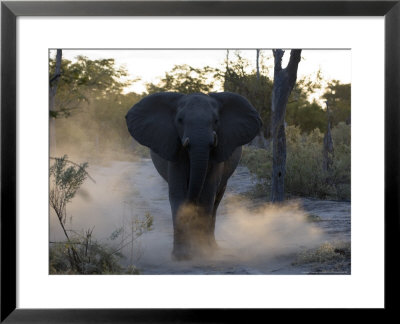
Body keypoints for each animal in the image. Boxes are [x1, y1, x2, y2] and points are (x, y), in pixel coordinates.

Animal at [126, 92, 262, 260]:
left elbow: (206, 196)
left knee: (215, 201)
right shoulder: (175, 150)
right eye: (180, 120)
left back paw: (213, 248)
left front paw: (202, 253)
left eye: (216, 121)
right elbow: (178, 194)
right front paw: (181, 256)